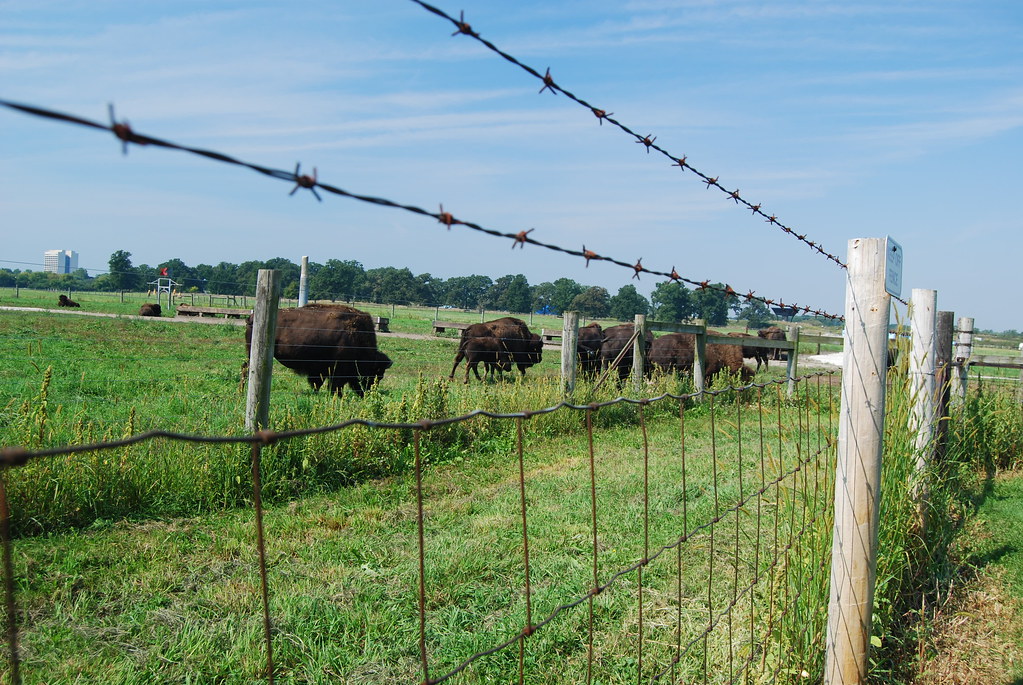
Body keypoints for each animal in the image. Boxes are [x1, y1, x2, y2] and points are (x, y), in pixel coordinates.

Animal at [245, 303, 391, 397]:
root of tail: (252, 318)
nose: (368, 393)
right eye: (375, 373)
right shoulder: (337, 370)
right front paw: (336, 396)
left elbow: (318, 383)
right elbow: (334, 385)